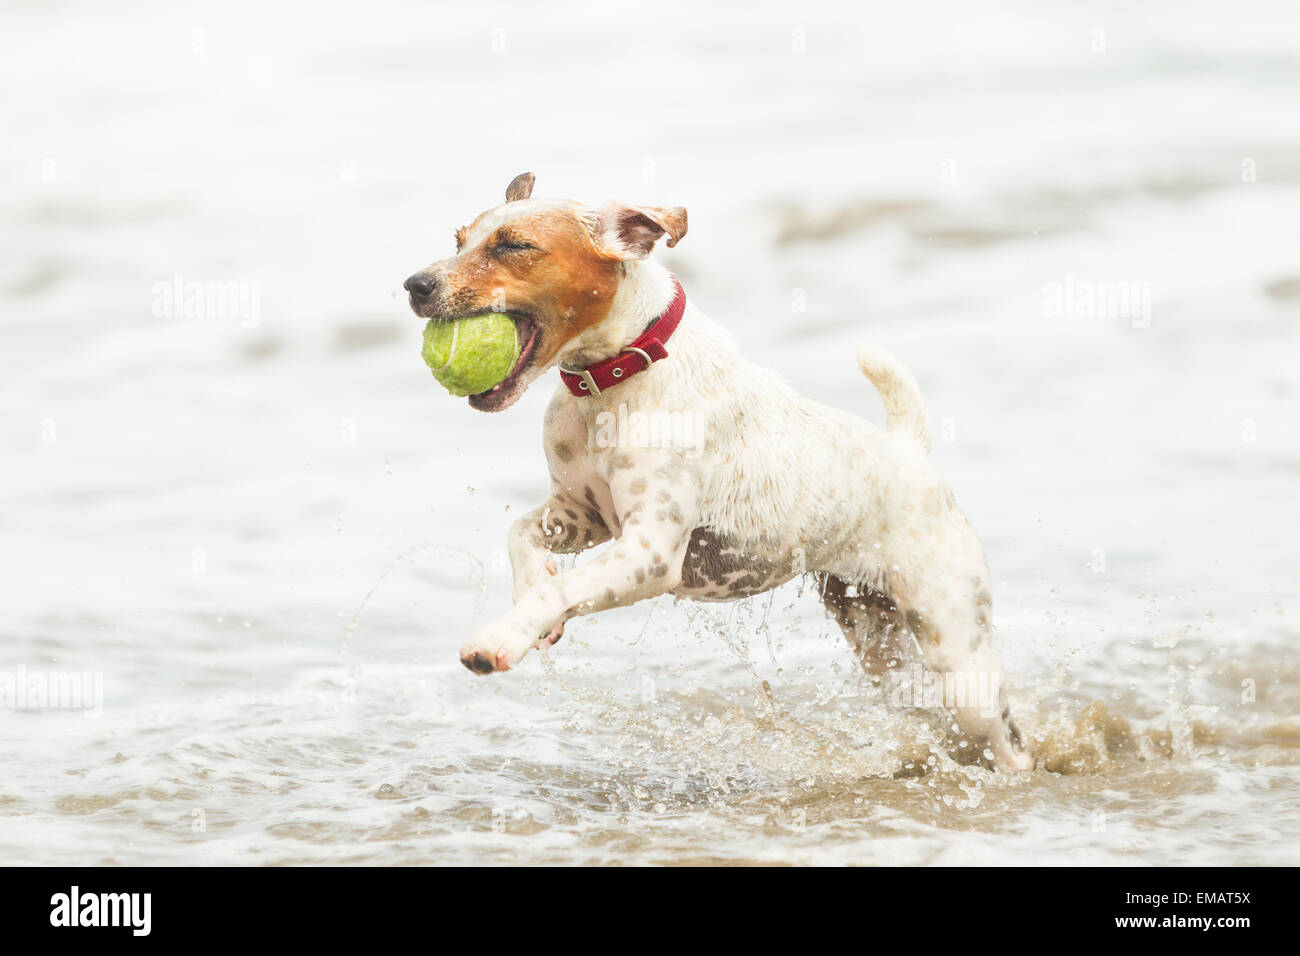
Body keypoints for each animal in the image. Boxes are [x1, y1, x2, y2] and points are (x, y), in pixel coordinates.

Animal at [405, 171, 1034, 770]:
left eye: (514, 245)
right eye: (459, 240)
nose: (415, 285)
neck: (614, 380)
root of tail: (910, 450)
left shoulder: (650, 552)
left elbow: (562, 587)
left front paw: (502, 636)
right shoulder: (583, 515)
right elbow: (521, 537)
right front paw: (536, 606)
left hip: (958, 650)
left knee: (1005, 740)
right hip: (874, 632)